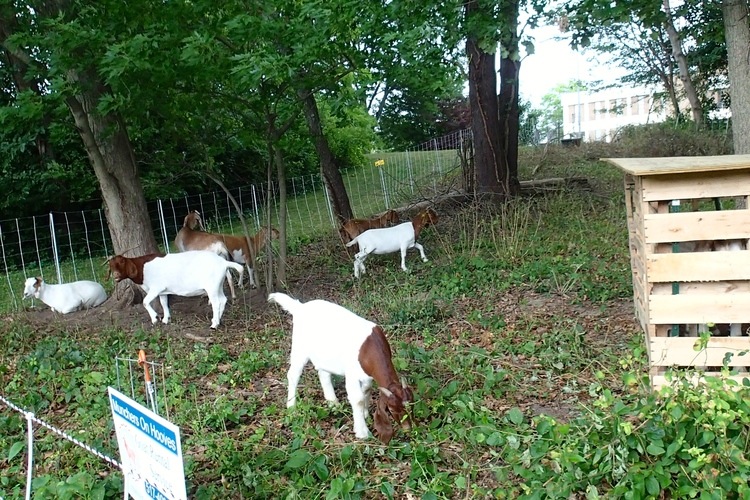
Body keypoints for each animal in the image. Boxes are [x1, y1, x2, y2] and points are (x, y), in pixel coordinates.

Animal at [268, 292, 414, 444]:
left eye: (412, 406)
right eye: (391, 409)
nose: (408, 428)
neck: (368, 349)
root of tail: (299, 307)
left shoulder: (367, 375)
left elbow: (366, 390)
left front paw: (364, 414)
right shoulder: (352, 374)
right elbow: (358, 399)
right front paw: (362, 432)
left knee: (323, 373)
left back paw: (333, 403)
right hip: (299, 348)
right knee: (293, 374)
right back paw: (291, 406)